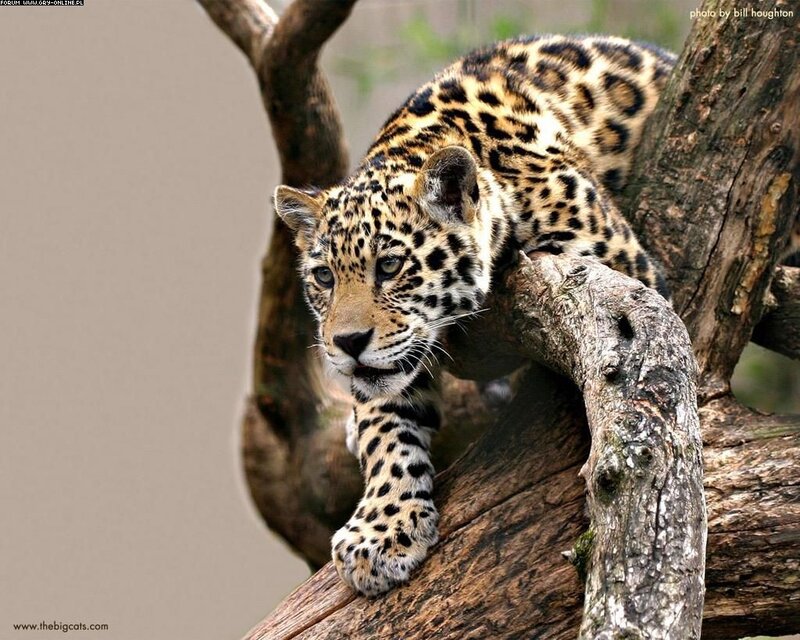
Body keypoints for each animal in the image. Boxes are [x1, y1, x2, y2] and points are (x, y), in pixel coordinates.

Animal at [274, 34, 678, 596]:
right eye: (324, 278)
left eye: (391, 265)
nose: (348, 344)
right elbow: (385, 427)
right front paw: (380, 530)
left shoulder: (622, 265)